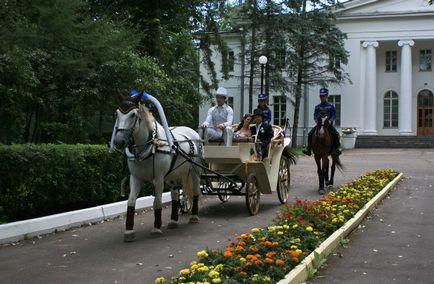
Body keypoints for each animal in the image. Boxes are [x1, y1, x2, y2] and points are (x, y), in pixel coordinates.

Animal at [111, 93, 201, 242]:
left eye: (133, 115)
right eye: (117, 114)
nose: (119, 141)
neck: (150, 144)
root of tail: (193, 133)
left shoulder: (158, 178)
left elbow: (157, 202)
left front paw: (156, 228)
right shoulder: (135, 178)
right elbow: (130, 202)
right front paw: (129, 231)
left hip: (194, 170)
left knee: (195, 191)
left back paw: (193, 216)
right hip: (173, 174)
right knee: (175, 194)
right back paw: (173, 221)